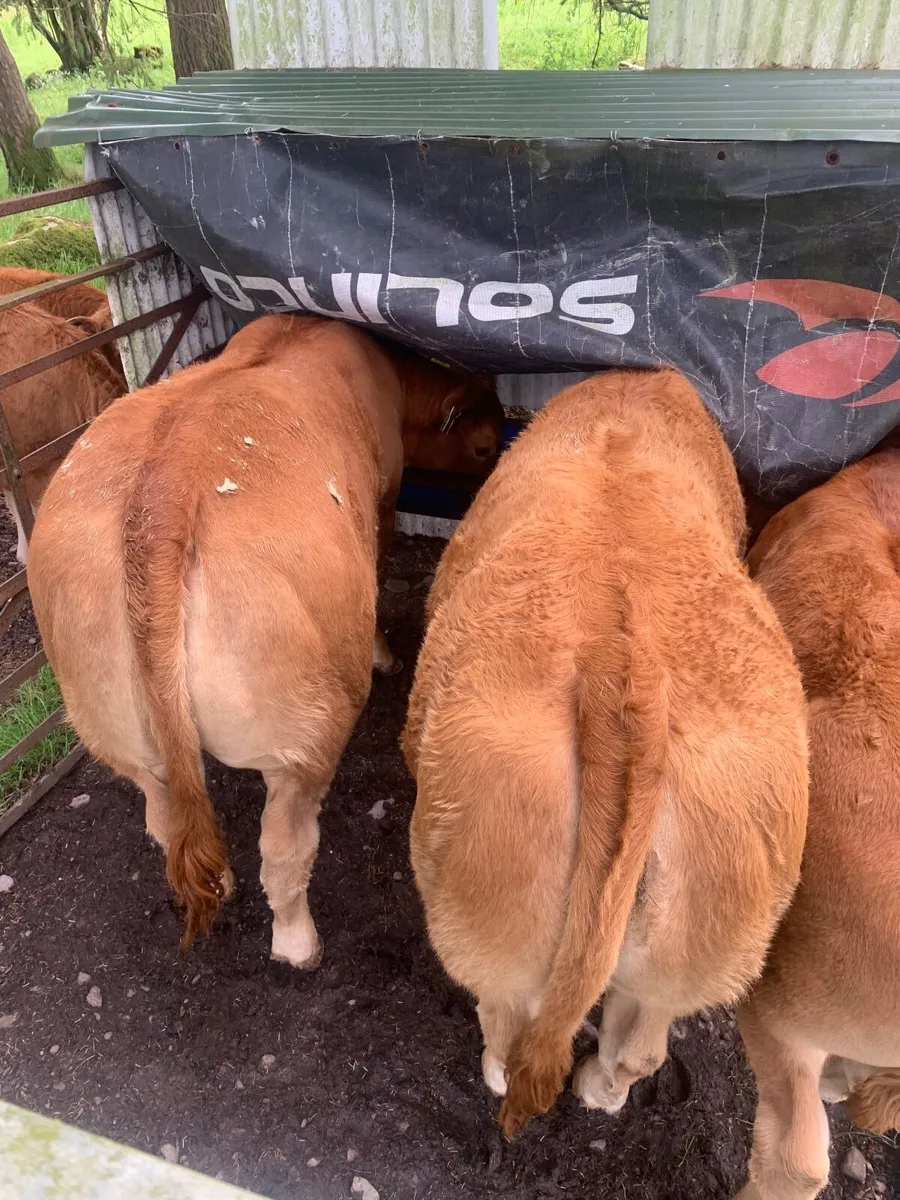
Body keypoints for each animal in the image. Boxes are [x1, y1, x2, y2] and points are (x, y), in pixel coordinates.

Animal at [27, 313, 504, 966]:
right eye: (482, 446)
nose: (485, 480)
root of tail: (162, 498)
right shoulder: (383, 496)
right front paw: (384, 655)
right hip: (299, 737)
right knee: (284, 846)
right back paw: (298, 943)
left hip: (111, 724)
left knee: (164, 817)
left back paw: (217, 882)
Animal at [402, 367, 808, 1137]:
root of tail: (619, 667)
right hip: (695, 952)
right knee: (639, 1046)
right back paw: (601, 1092)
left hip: (486, 928)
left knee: (508, 1025)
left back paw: (501, 1074)